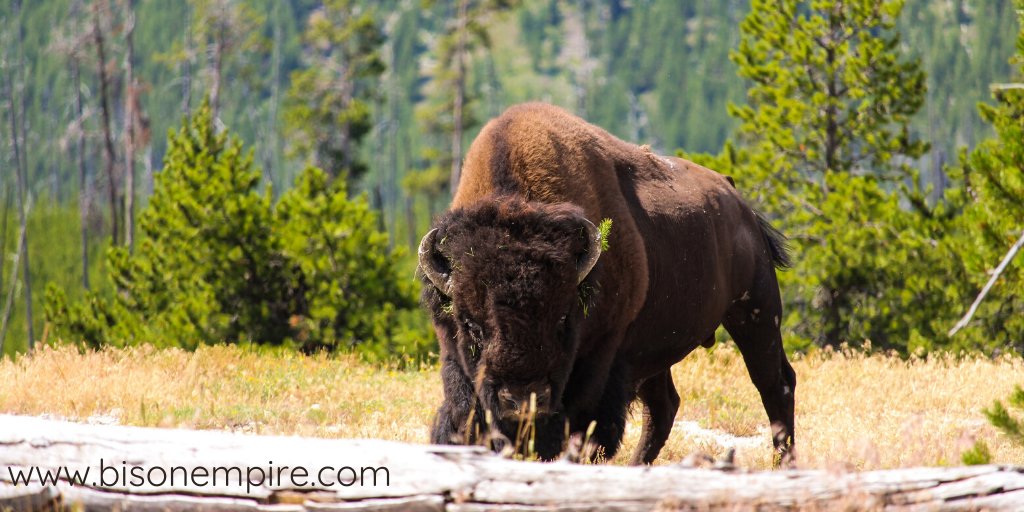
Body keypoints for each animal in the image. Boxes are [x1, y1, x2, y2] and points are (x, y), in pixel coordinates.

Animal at [418, 102, 795, 465]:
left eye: (562, 319)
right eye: (471, 325)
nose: (522, 400)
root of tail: (738, 201)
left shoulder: (603, 357)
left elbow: (587, 427)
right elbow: (462, 415)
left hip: (756, 312)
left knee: (775, 384)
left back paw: (782, 463)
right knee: (665, 405)